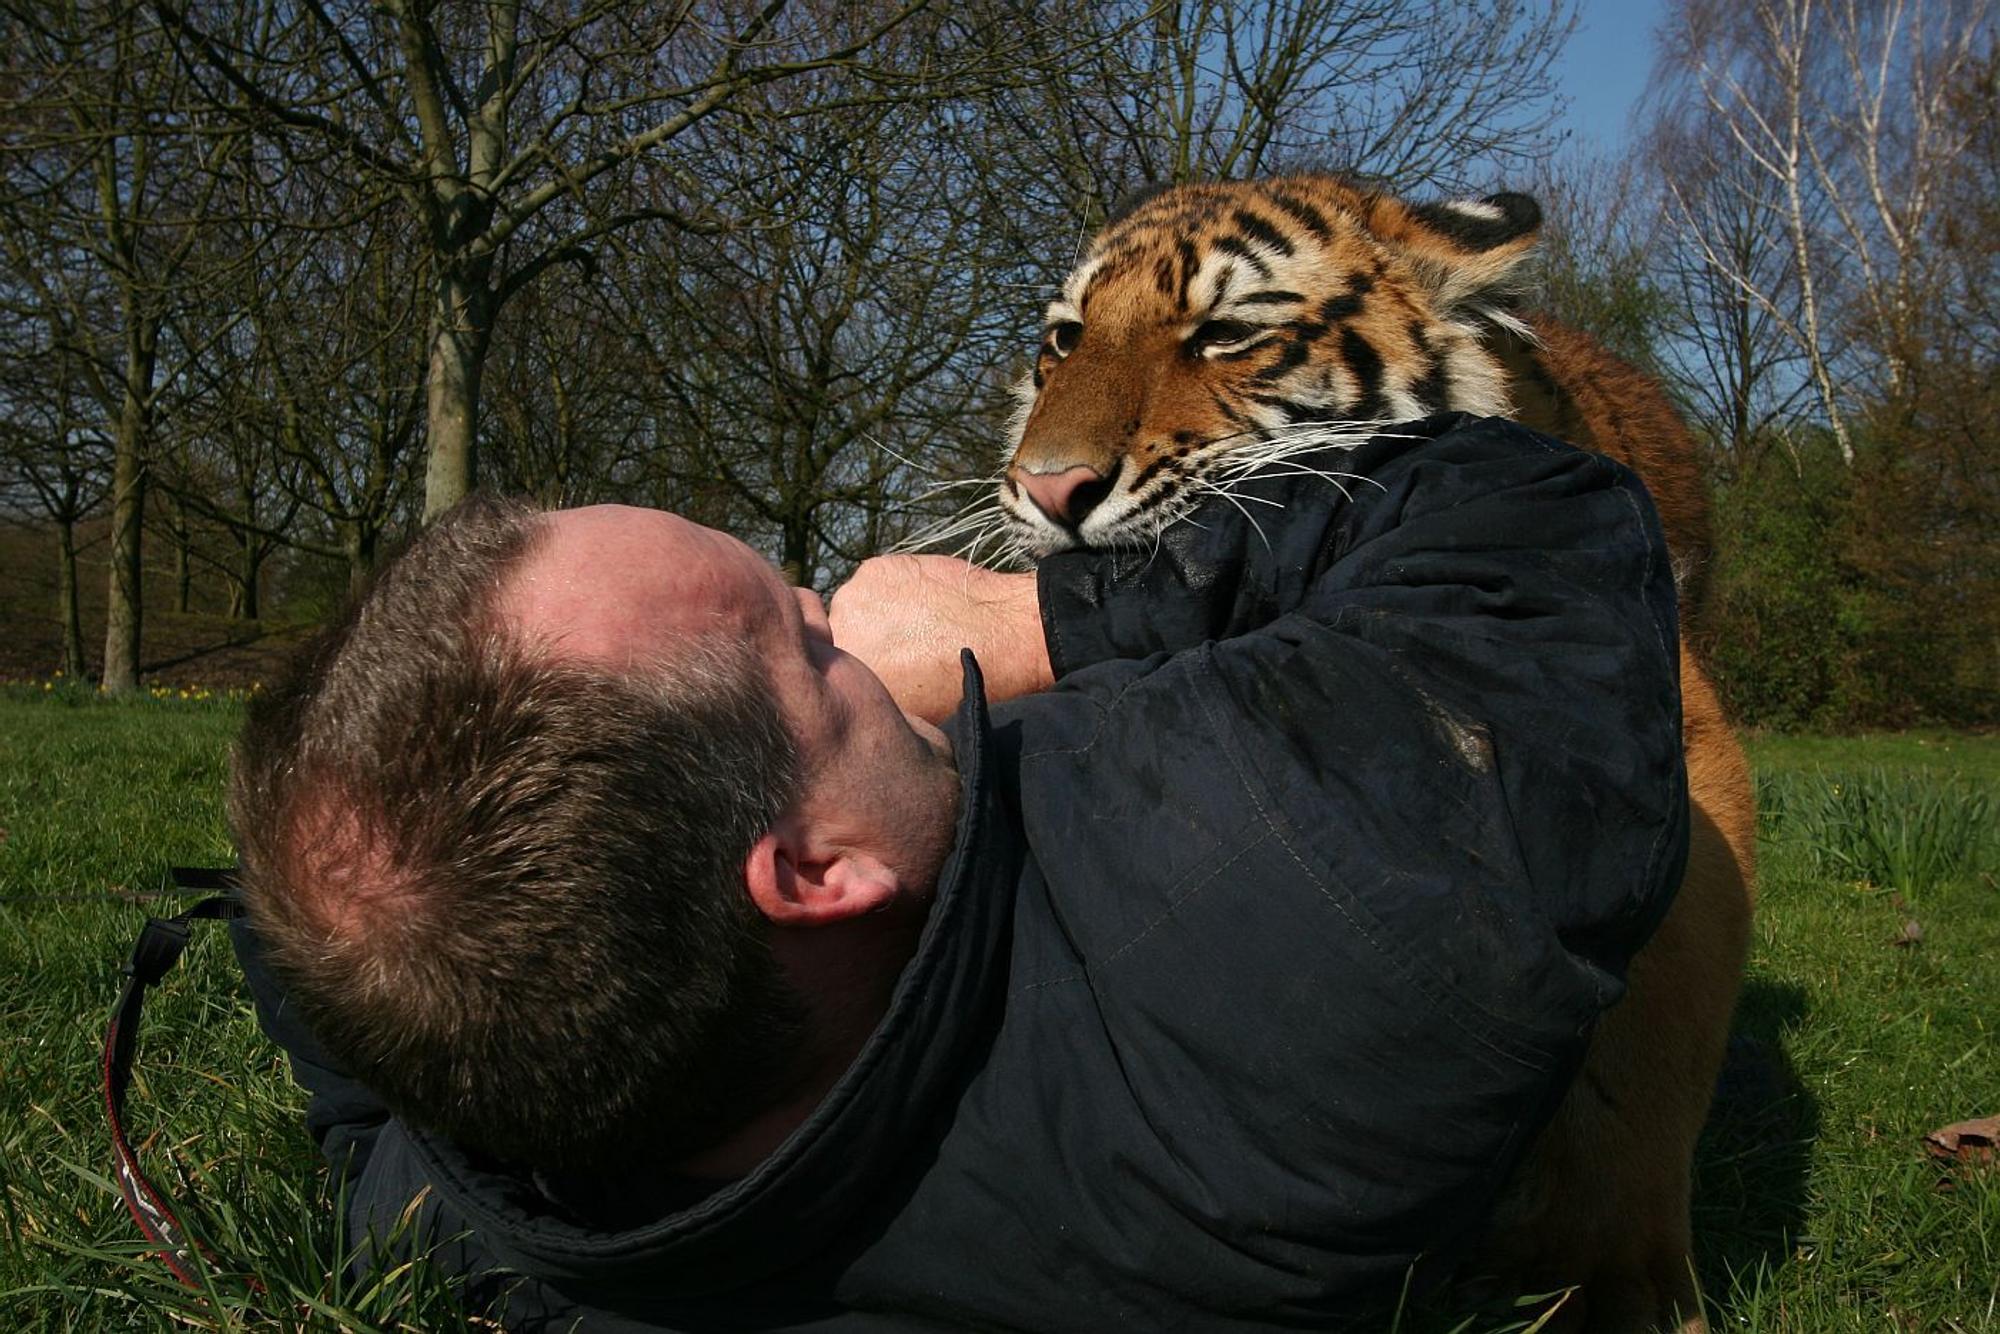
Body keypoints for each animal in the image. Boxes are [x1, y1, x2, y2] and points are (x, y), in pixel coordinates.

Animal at [995, 175, 1757, 1334]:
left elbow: (1647, 1048)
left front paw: (1615, 1285)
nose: (1044, 488)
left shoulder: (1666, 747)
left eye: (1225, 334)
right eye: (1063, 339)